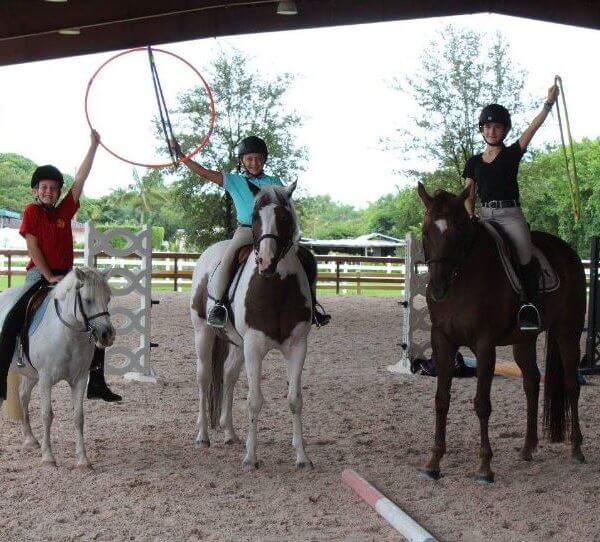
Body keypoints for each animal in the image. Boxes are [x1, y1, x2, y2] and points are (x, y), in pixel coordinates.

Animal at [0, 270, 114, 470]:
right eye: (87, 300)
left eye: (107, 298)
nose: (108, 335)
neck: (68, 334)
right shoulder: (46, 379)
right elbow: (47, 415)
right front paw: (48, 458)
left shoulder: (80, 379)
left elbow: (78, 417)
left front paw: (83, 460)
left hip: (31, 375)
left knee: (23, 396)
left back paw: (30, 439)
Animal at [191, 182, 314, 472]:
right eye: (256, 216)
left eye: (285, 217)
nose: (267, 262)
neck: (276, 288)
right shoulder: (255, 347)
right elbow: (255, 401)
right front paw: (250, 458)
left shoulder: (297, 347)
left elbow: (295, 399)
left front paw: (302, 457)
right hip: (203, 333)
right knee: (204, 379)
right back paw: (203, 436)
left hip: (237, 345)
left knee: (228, 376)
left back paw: (229, 433)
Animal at [418, 184, 584, 484]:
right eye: (426, 232)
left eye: (458, 231)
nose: (437, 287)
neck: (462, 278)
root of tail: (567, 251)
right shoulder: (443, 342)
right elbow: (441, 400)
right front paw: (433, 462)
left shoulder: (485, 346)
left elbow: (482, 403)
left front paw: (485, 467)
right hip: (524, 341)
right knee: (531, 383)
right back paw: (528, 448)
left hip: (568, 333)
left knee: (571, 385)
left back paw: (577, 448)